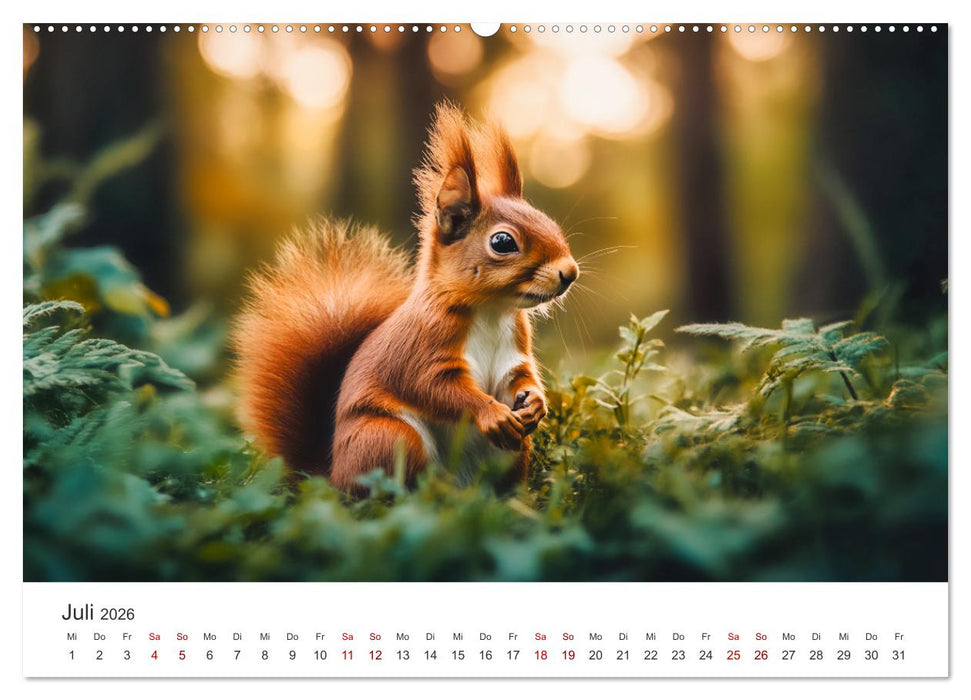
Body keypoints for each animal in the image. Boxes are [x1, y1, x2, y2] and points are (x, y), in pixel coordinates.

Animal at [232, 103, 578, 493]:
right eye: (502, 242)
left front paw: (535, 402)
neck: (491, 310)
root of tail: (331, 475)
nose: (570, 272)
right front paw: (490, 412)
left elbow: (521, 376)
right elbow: (433, 387)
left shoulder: (513, 352)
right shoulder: (421, 346)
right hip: (388, 436)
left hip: (512, 452)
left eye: (549, 222)